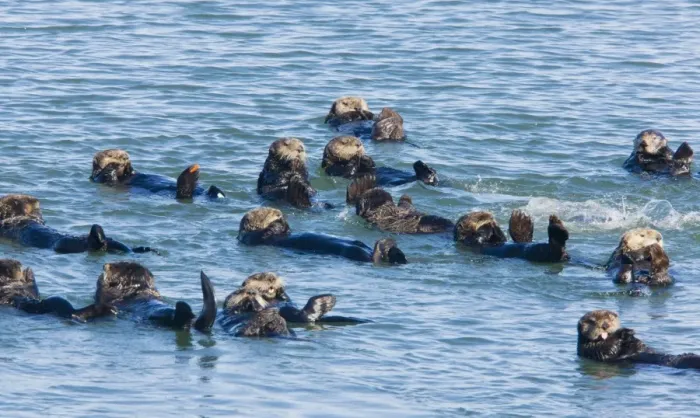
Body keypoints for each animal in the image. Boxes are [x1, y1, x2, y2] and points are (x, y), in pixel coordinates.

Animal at [90, 149, 225, 199]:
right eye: (111, 154)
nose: (125, 157)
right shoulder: (100, 178)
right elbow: (106, 174)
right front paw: (115, 165)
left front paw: (129, 166)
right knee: (184, 193)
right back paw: (191, 172)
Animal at [238, 207, 407, 264]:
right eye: (266, 213)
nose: (279, 213)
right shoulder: (255, 238)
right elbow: (267, 232)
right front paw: (278, 223)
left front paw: (285, 223)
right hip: (355, 253)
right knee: (372, 258)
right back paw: (385, 245)